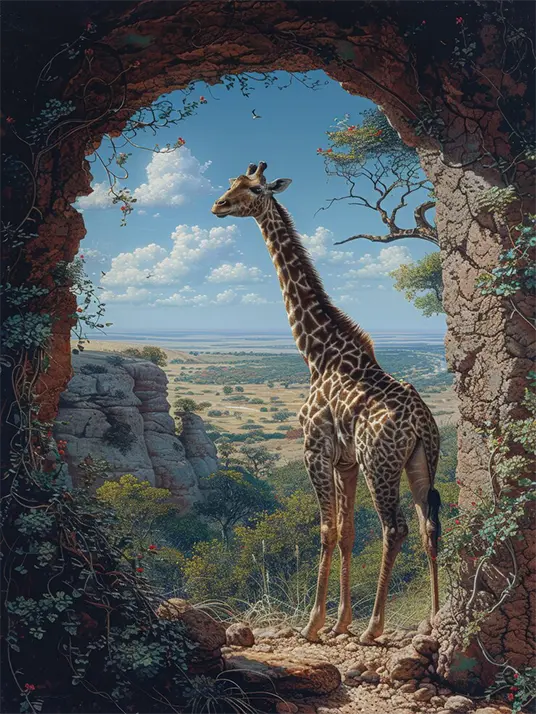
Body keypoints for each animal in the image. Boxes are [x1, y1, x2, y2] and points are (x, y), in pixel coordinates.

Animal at [211, 162, 441, 643]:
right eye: (232, 185)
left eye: (254, 190)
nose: (218, 205)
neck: (316, 352)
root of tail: (422, 423)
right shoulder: (346, 460)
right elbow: (348, 530)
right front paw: (339, 621)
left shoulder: (315, 448)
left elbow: (326, 530)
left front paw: (315, 623)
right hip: (420, 461)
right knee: (428, 525)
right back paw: (433, 617)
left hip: (380, 464)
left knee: (395, 528)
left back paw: (374, 627)